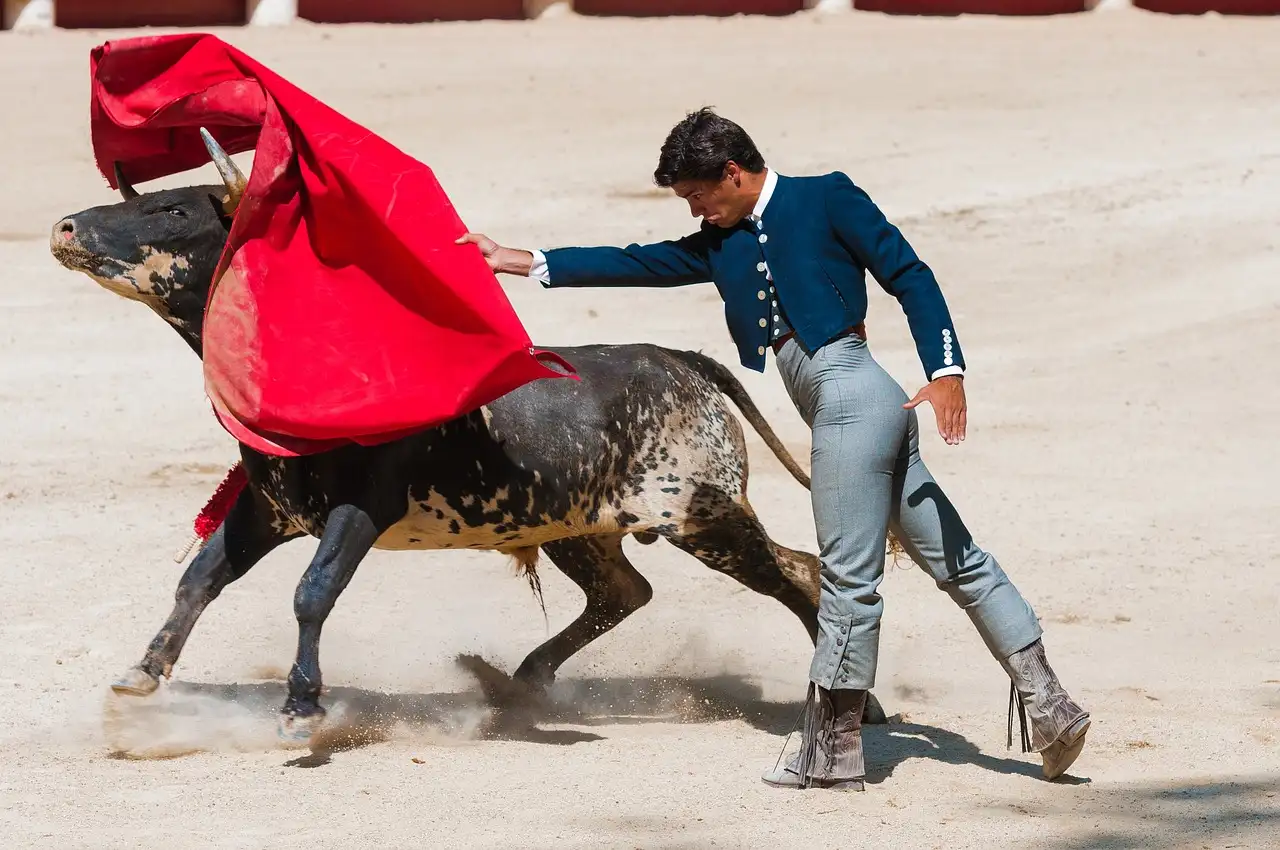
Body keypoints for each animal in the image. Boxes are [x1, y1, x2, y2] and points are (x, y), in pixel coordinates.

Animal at [52, 131, 890, 737]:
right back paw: (517, 684)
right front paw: (140, 676)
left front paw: (300, 708)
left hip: (703, 514)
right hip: (578, 526)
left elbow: (311, 591)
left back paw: (859, 707)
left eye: (175, 212)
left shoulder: (360, 509)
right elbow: (201, 578)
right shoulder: (269, 508)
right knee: (626, 590)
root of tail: (679, 360)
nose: (64, 226)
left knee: (796, 573)